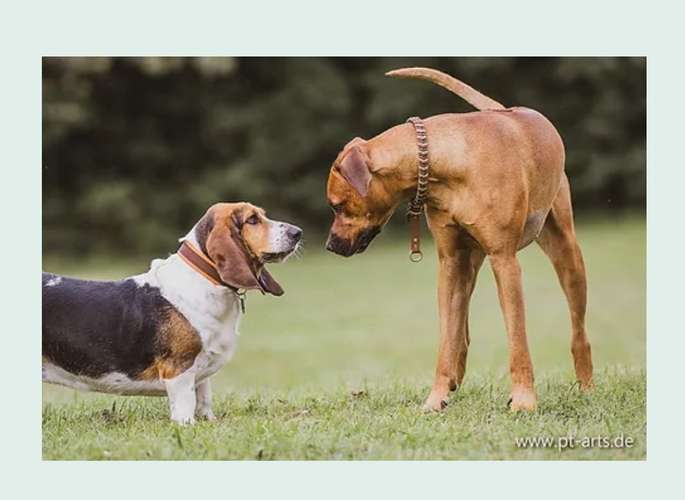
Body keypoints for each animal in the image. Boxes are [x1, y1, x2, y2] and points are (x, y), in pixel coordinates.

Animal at [42, 201, 300, 424]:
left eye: (263, 215)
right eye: (252, 220)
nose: (297, 232)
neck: (205, 278)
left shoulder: (202, 373)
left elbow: (204, 398)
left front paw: (209, 422)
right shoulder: (179, 369)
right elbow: (186, 404)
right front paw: (187, 426)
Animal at [324, 67, 592, 410]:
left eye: (337, 205)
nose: (330, 245)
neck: (449, 164)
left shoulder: (505, 262)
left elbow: (517, 339)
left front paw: (523, 400)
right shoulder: (450, 263)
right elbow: (446, 339)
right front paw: (435, 398)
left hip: (566, 253)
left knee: (578, 328)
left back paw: (586, 384)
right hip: (469, 264)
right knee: (460, 330)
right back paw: (454, 379)